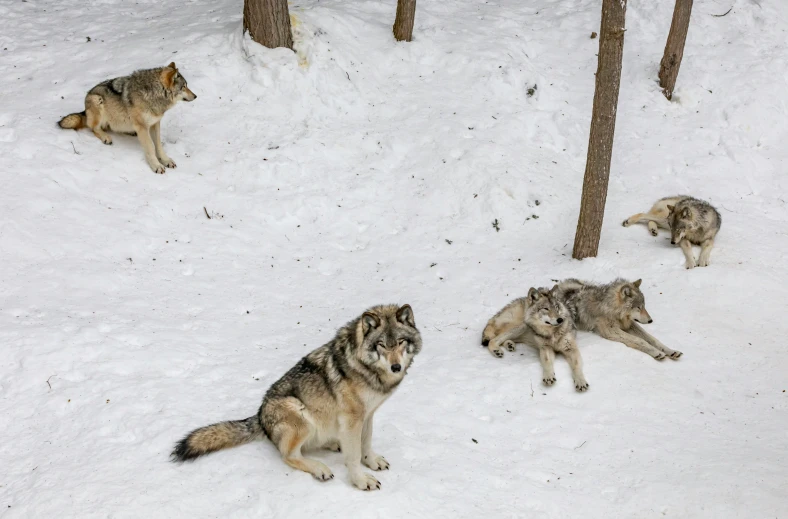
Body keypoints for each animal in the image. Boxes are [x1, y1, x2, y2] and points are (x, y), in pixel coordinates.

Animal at [57, 62, 195, 173]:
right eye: (184, 87)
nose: (196, 96)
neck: (154, 94)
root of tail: (84, 110)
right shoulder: (143, 126)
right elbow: (150, 147)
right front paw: (156, 166)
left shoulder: (155, 123)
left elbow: (159, 146)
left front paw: (166, 160)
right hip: (97, 100)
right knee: (94, 128)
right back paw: (106, 137)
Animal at [170, 304, 422, 492]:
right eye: (381, 345)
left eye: (401, 342)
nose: (396, 367)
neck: (367, 368)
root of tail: (259, 417)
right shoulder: (353, 419)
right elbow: (353, 456)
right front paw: (361, 481)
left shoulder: (367, 415)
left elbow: (365, 443)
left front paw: (371, 461)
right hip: (299, 413)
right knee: (288, 455)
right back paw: (320, 468)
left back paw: (333, 444)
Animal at [556, 280, 684, 362]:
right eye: (638, 307)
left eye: (644, 306)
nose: (650, 320)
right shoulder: (612, 331)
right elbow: (640, 340)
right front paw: (657, 353)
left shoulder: (630, 324)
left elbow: (652, 339)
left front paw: (671, 351)